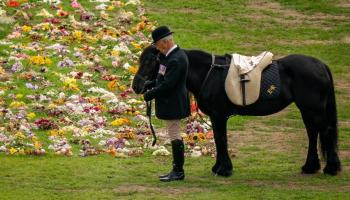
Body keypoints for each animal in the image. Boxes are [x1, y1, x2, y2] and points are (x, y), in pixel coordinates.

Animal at [133, 45, 340, 175]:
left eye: (150, 61)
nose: (136, 86)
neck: (209, 73)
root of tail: (320, 65)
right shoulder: (216, 117)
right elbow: (219, 141)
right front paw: (218, 167)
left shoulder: (218, 115)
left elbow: (221, 140)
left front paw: (224, 169)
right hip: (307, 110)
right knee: (313, 133)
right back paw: (310, 167)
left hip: (313, 109)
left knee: (325, 132)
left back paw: (331, 168)